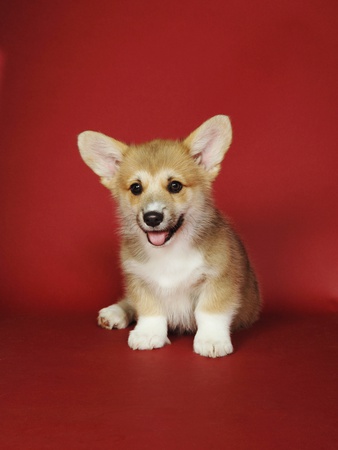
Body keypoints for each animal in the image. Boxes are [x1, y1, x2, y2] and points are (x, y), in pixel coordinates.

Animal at [78, 116, 262, 358]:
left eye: (175, 185)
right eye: (136, 188)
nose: (152, 217)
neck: (170, 251)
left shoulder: (219, 279)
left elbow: (209, 312)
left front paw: (211, 340)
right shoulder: (139, 279)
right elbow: (149, 310)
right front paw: (148, 334)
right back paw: (115, 312)